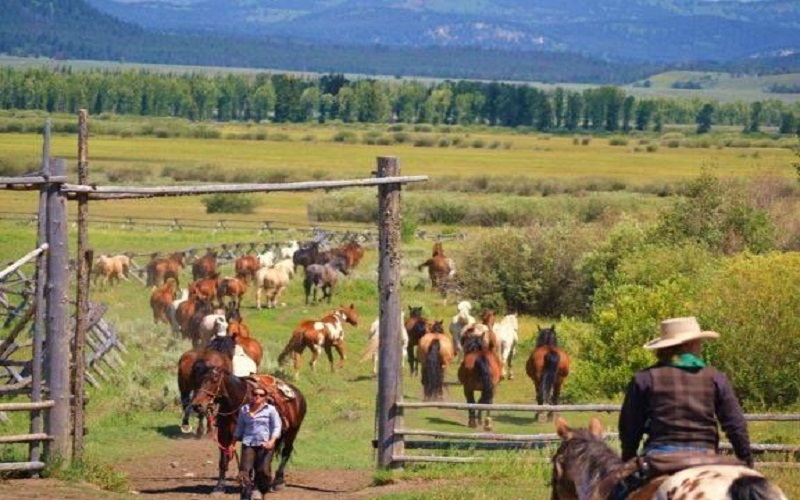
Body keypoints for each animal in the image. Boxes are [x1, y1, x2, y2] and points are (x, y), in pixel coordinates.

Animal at [192, 368, 308, 496]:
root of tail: (298, 394)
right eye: (199, 381)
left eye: (214, 380)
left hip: (292, 432)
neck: (237, 403)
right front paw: (219, 487)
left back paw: (278, 482)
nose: (197, 405)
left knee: (286, 452)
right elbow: (224, 461)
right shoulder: (224, 435)